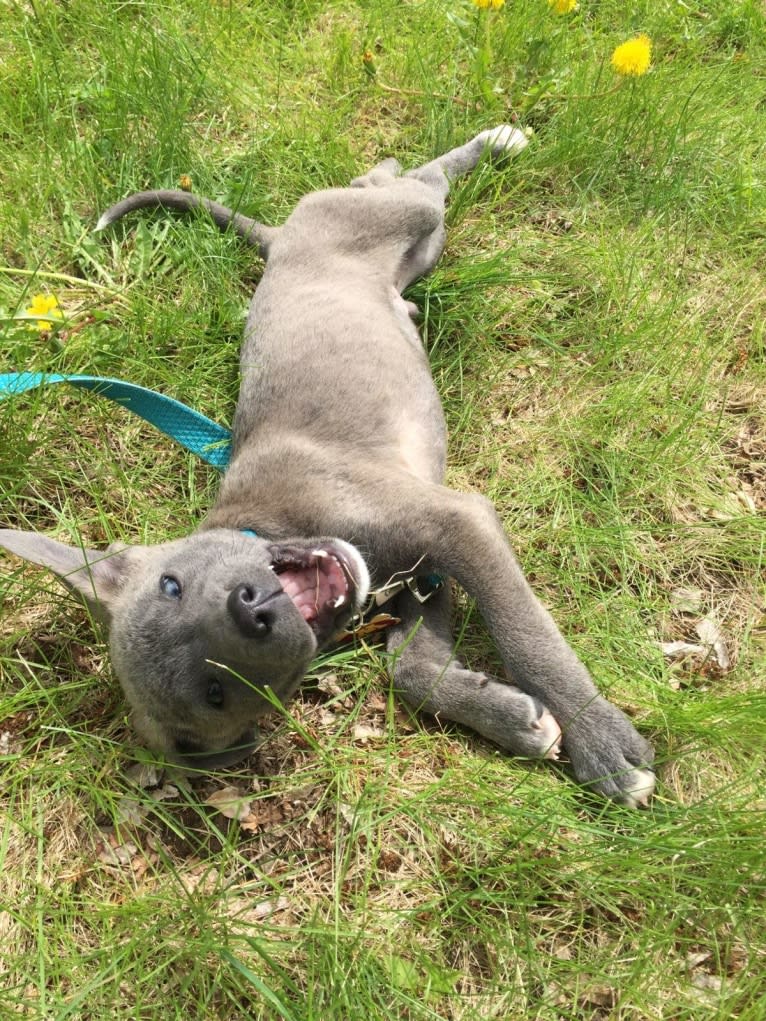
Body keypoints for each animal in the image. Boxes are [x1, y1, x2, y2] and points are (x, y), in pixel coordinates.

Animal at [1, 123, 653, 800]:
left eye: (171, 584)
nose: (251, 607)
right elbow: (409, 668)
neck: (270, 524)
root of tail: (278, 237)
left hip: (396, 215)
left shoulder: (456, 523)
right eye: (216, 693)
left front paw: (601, 742)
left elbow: (527, 639)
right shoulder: (423, 570)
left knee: (412, 179)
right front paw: (514, 719)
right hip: (419, 251)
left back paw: (491, 143)